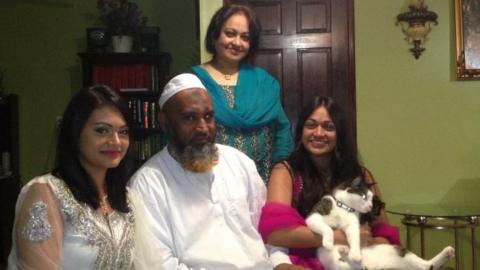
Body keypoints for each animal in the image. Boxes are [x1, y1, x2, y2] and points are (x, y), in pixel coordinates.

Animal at [306, 177, 456, 270]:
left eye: (371, 199)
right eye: (364, 197)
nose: (370, 206)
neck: (344, 207)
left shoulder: (353, 226)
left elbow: (354, 239)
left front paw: (356, 253)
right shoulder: (314, 217)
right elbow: (327, 228)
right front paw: (328, 242)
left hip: (397, 250)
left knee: (426, 265)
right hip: (336, 265)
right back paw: (344, 252)